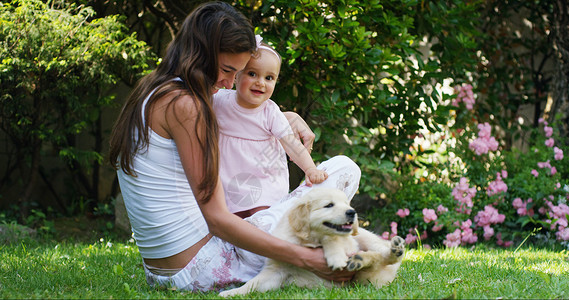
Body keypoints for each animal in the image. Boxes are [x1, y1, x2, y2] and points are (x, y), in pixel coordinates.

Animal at [219, 189, 404, 296]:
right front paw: (231, 293)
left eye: (346, 203)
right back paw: (360, 260)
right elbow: (253, 283)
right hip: (362, 280)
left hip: (366, 241)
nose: (352, 212)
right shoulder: (275, 271)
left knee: (382, 257)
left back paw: (392, 250)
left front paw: (335, 257)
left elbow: (331, 237)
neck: (308, 241)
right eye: (329, 205)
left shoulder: (348, 243)